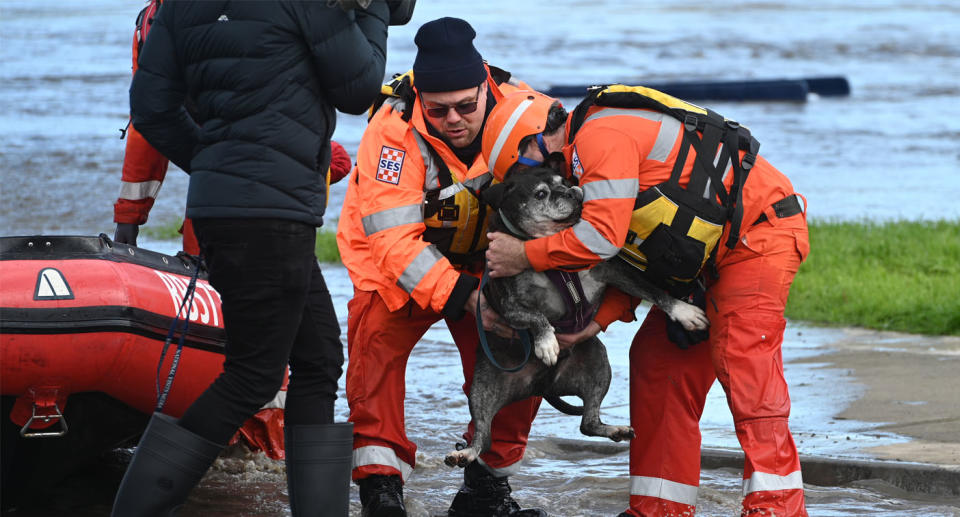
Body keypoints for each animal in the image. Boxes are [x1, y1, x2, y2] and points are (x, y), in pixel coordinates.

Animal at [446, 166, 708, 468]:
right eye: (540, 194)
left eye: (565, 181)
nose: (572, 192)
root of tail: (542, 385)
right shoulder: (508, 303)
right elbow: (536, 316)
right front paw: (547, 343)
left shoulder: (614, 271)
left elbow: (652, 290)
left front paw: (683, 311)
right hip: (483, 386)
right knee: (483, 435)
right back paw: (464, 453)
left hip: (598, 363)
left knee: (588, 422)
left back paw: (615, 429)